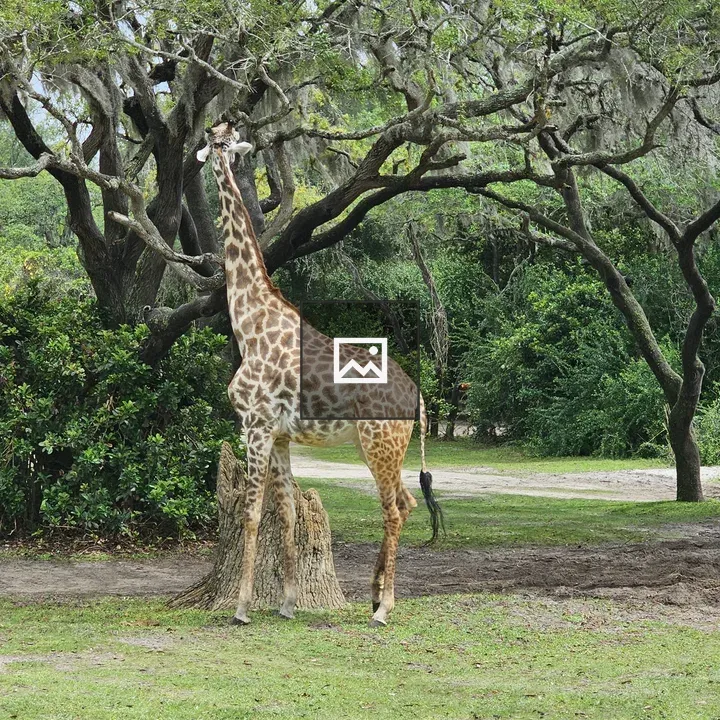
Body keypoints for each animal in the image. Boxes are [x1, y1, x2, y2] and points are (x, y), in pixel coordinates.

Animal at [196, 122, 442, 627]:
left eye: (222, 139)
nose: (219, 148)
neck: (249, 323)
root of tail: (419, 397)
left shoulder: (254, 425)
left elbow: (251, 513)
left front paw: (242, 607)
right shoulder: (280, 435)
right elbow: (287, 512)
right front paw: (287, 603)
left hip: (379, 444)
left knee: (394, 508)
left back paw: (383, 609)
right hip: (384, 446)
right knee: (407, 502)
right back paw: (376, 595)